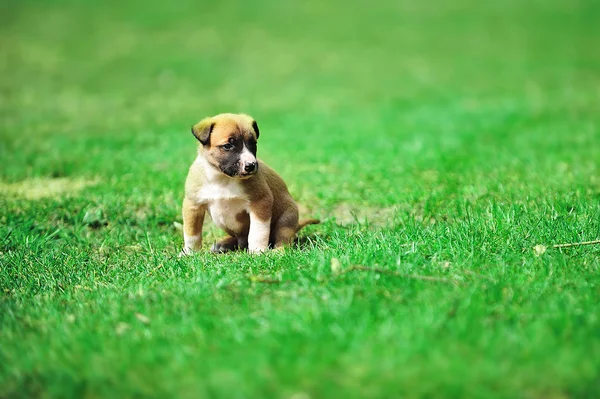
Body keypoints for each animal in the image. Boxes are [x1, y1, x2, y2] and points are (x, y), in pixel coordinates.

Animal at [180, 113, 318, 256]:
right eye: (228, 145)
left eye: (253, 143)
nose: (251, 165)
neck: (222, 179)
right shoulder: (193, 206)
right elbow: (192, 234)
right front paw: (189, 253)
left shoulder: (260, 203)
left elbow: (257, 232)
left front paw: (258, 251)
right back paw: (223, 244)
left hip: (286, 219)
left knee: (284, 239)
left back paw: (277, 250)